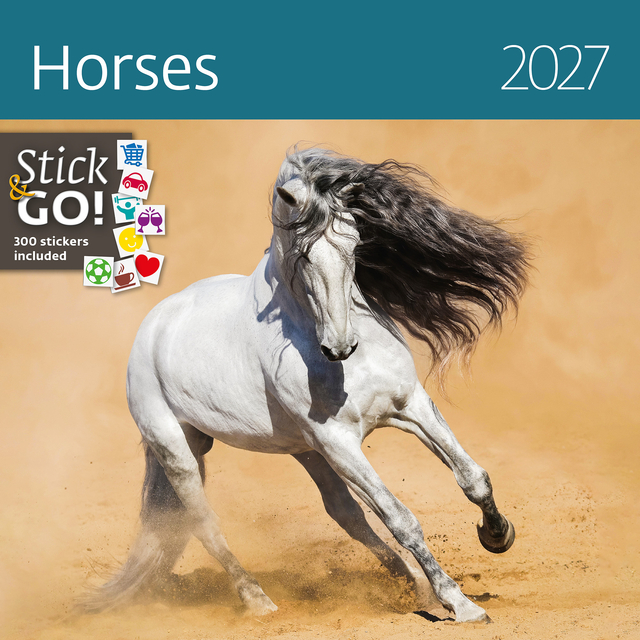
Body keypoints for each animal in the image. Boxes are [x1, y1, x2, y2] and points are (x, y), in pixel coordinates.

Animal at [85, 147, 530, 623]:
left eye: (355, 243)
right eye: (303, 256)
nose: (339, 346)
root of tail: (153, 326)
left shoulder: (410, 406)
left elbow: (473, 478)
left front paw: (497, 535)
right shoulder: (339, 442)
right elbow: (401, 519)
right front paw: (461, 604)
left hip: (305, 451)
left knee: (346, 515)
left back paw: (413, 586)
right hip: (178, 451)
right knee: (205, 525)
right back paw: (258, 600)